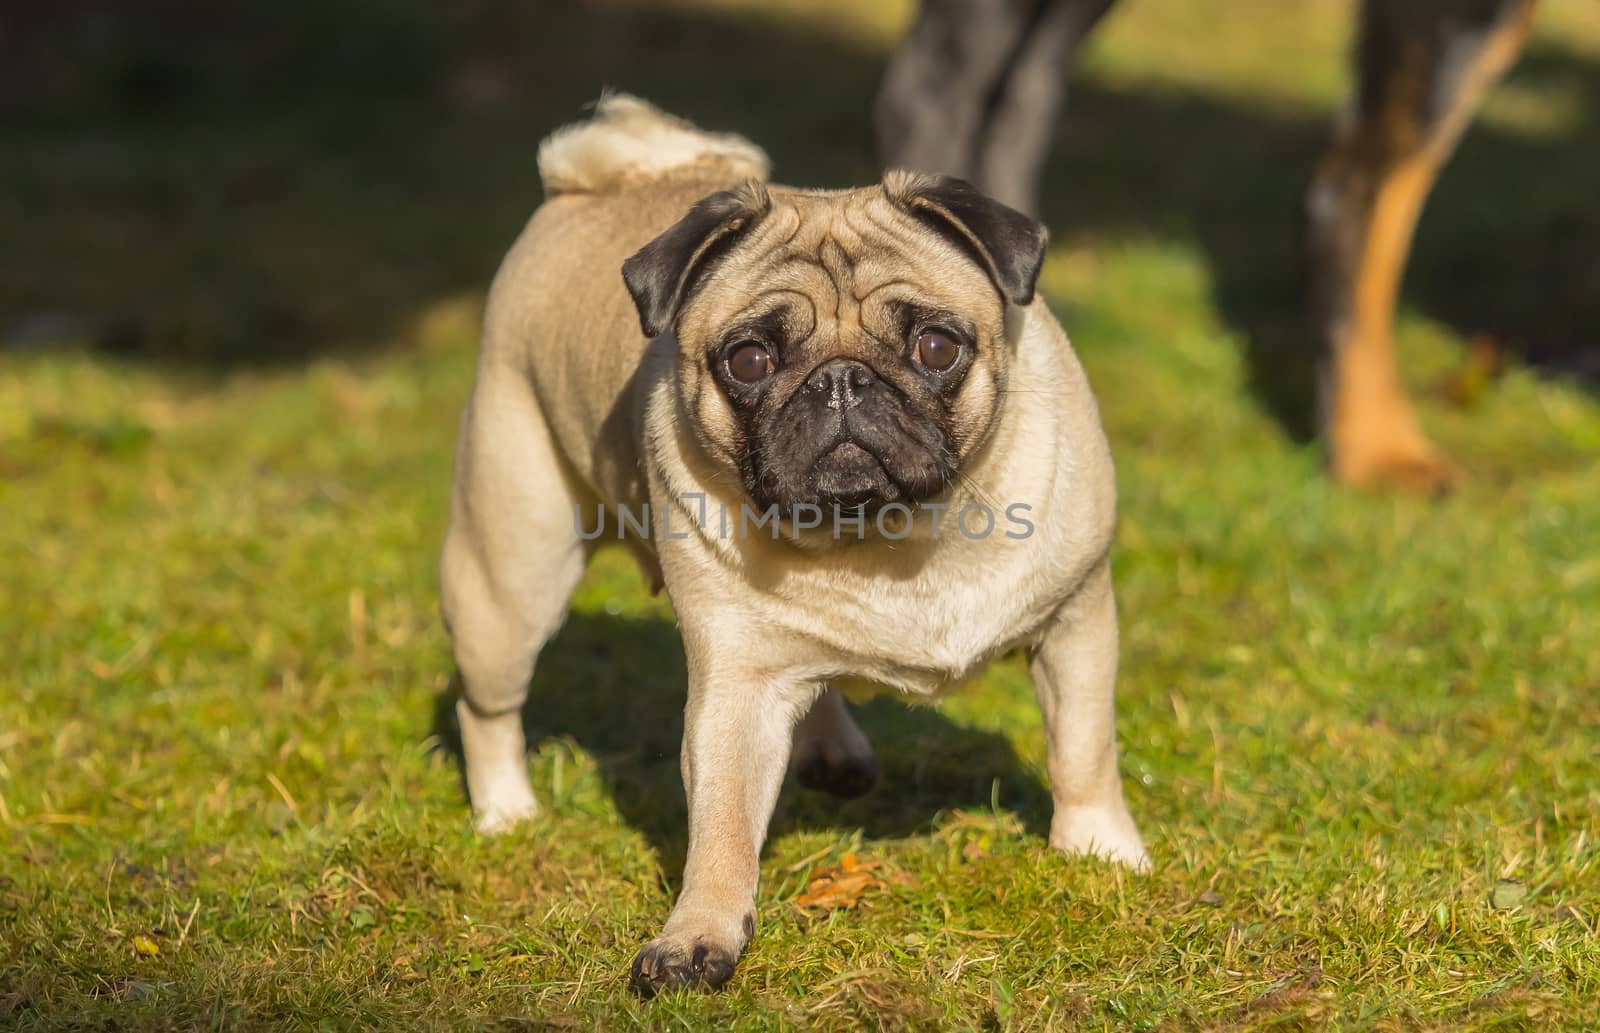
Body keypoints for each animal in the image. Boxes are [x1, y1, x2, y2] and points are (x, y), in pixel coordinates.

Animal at [438, 99, 1152, 1004]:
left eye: (936, 347)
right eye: (749, 360)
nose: (840, 380)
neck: (891, 536)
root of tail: (603, 177)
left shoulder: (1076, 620)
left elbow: (1084, 746)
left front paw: (1100, 850)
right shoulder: (737, 688)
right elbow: (721, 826)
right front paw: (697, 935)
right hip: (511, 575)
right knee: (488, 704)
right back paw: (506, 812)